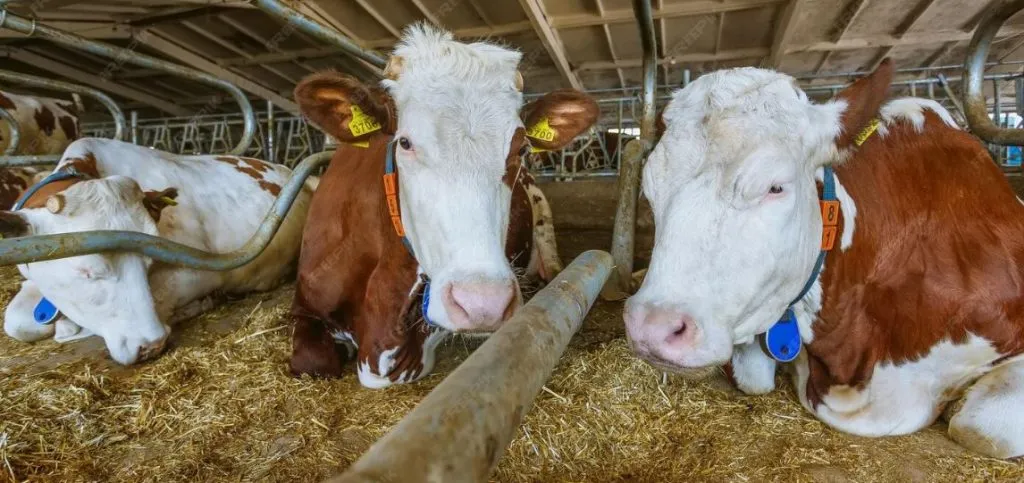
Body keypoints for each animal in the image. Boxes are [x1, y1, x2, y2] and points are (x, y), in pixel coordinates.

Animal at [0, 137, 315, 365]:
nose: (151, 344)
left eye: (149, 261)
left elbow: (162, 297)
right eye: (88, 271)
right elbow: (15, 323)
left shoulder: (205, 271)